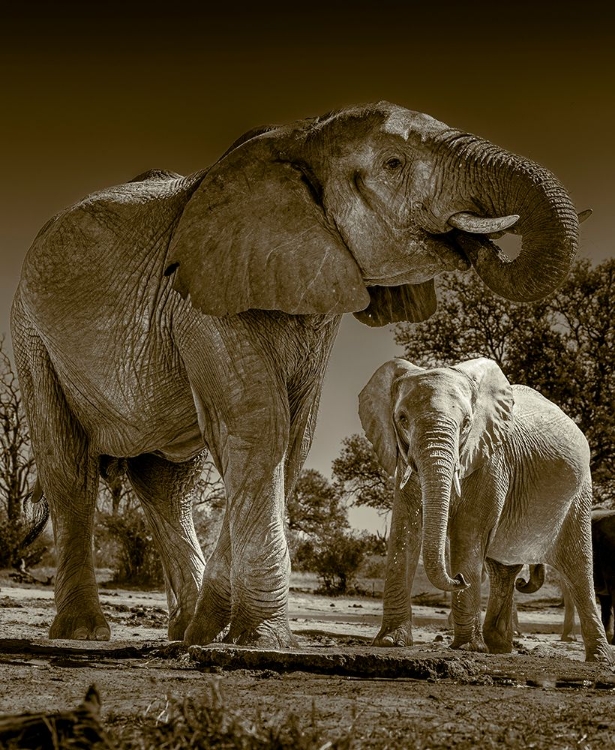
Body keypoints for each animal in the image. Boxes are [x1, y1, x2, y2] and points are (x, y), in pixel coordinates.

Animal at [10, 103, 588, 648]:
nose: (479, 242)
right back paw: (84, 631)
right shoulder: (201, 298)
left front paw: (214, 634)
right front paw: (259, 639)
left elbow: (291, 438)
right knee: (68, 470)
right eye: (394, 164)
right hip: (31, 335)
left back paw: (182, 630)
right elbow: (260, 427)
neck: (300, 136)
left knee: (167, 486)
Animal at [358, 356, 612, 660]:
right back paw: (499, 648)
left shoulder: (491, 459)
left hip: (580, 494)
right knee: (503, 570)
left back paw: (598, 658)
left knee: (578, 569)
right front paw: (390, 642)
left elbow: (468, 533)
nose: (458, 578)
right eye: (402, 419)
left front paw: (467, 647)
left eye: (467, 423)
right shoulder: (403, 456)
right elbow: (404, 530)